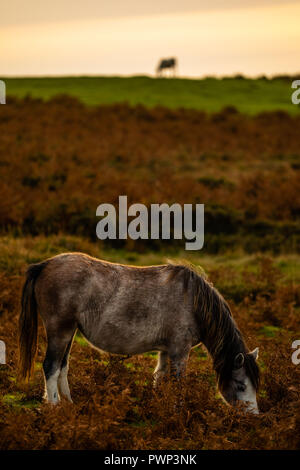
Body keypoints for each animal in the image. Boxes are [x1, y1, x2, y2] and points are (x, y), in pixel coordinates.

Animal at [17, 255, 258, 414]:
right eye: (241, 385)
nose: (253, 417)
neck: (193, 301)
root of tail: (45, 265)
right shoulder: (180, 350)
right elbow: (178, 382)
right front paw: (177, 412)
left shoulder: (166, 350)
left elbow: (159, 376)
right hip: (60, 330)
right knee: (51, 366)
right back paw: (55, 407)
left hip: (69, 332)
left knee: (62, 366)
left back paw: (68, 403)